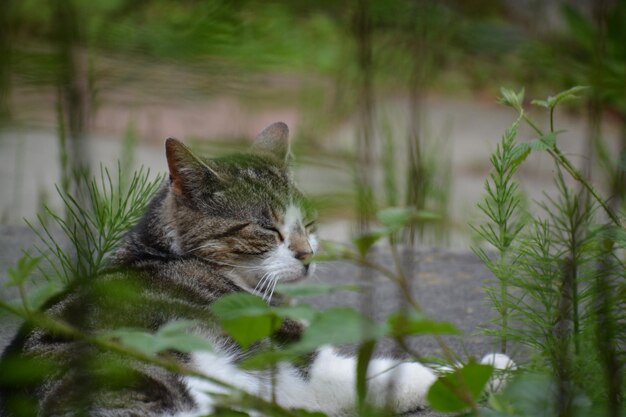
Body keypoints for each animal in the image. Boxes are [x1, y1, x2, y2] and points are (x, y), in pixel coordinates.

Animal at [0, 122, 508, 414]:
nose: (307, 254)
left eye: (308, 223)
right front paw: (489, 369)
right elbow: (398, 373)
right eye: (268, 228)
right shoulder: (298, 359)